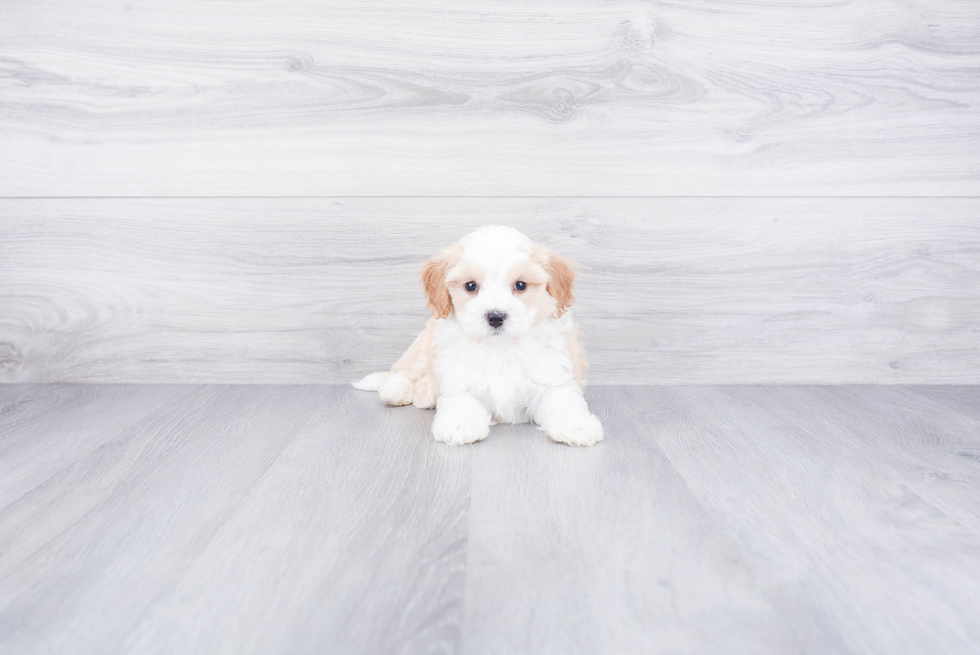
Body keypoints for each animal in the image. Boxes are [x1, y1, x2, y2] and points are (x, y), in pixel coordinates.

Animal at [348, 226, 600, 446]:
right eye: (470, 286)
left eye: (520, 285)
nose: (496, 316)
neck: (500, 348)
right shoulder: (460, 377)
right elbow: (462, 401)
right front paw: (460, 424)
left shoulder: (552, 375)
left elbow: (563, 402)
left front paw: (577, 426)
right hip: (424, 342)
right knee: (405, 368)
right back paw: (398, 390)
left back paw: (426, 392)